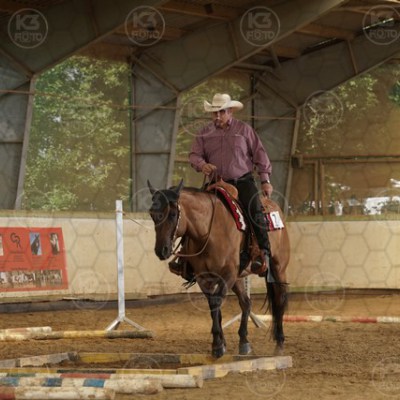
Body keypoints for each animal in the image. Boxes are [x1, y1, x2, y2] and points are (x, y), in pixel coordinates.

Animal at [147, 179, 290, 358]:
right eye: (152, 214)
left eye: (173, 214)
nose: (161, 250)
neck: (210, 231)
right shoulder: (204, 277)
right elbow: (214, 305)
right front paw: (220, 343)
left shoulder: (227, 274)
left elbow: (216, 301)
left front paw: (217, 345)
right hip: (238, 278)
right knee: (246, 302)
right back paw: (244, 341)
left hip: (278, 269)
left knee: (280, 299)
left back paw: (280, 343)